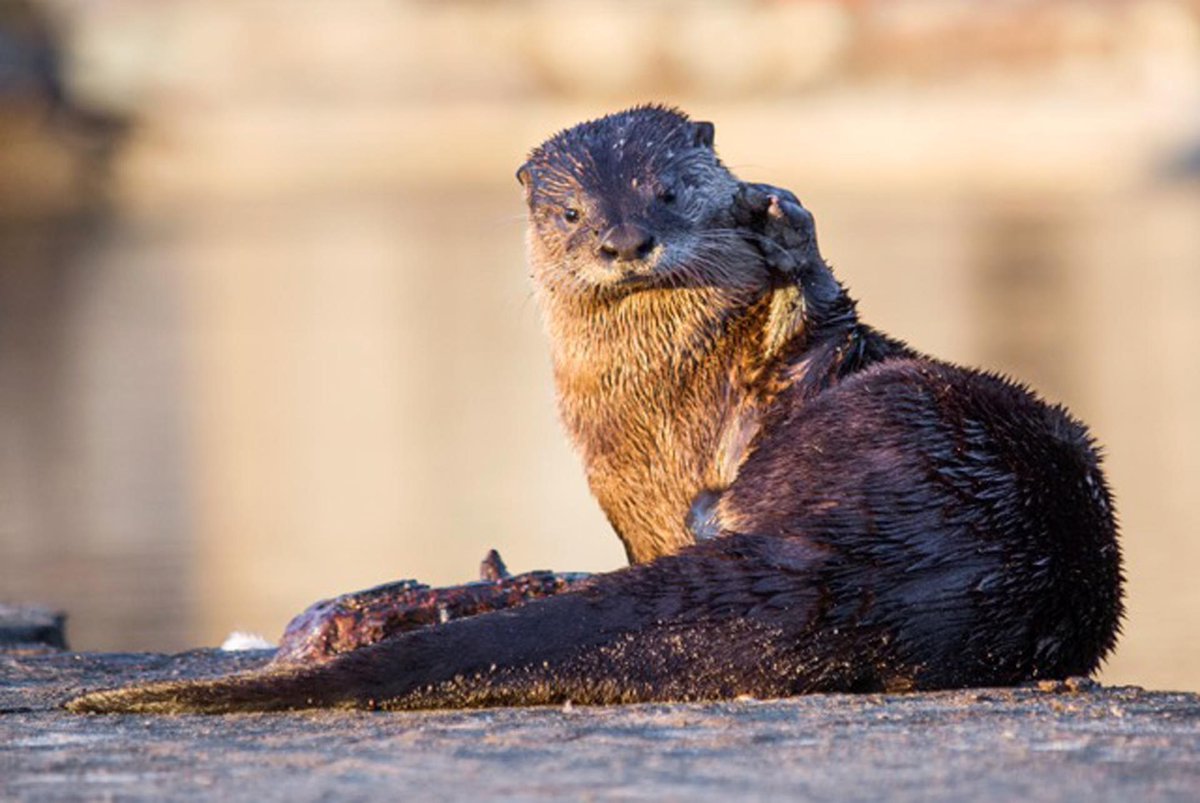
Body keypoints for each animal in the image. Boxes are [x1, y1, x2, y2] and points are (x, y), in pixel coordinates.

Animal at [66, 106, 1123, 714]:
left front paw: (791, 245)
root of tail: (881, 561)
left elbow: (814, 327)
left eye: (669, 189)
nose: (624, 239)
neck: (662, 410)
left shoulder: (796, 374)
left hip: (897, 419)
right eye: (570, 212)